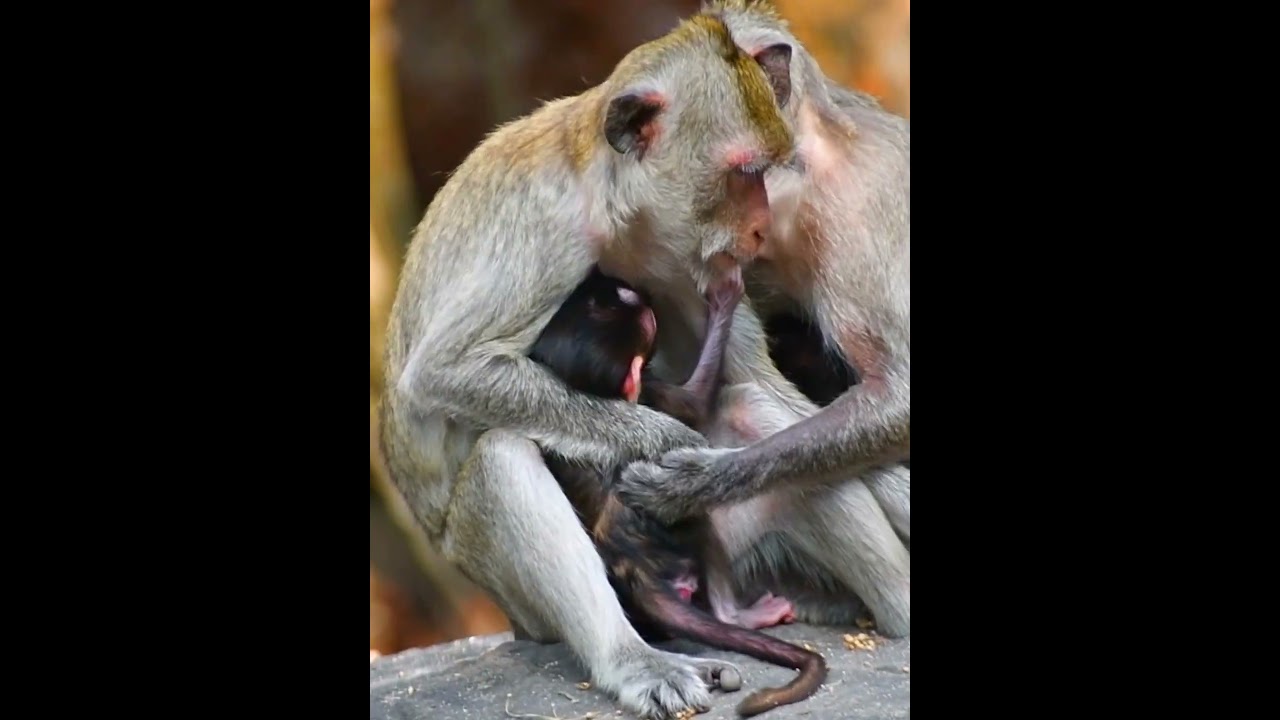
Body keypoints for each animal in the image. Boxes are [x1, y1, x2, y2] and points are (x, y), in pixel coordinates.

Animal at [529, 265, 827, 717]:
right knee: (702, 522)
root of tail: (631, 567)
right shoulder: (650, 391)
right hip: (678, 538)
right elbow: (695, 404)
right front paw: (724, 298)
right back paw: (737, 616)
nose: (635, 290)